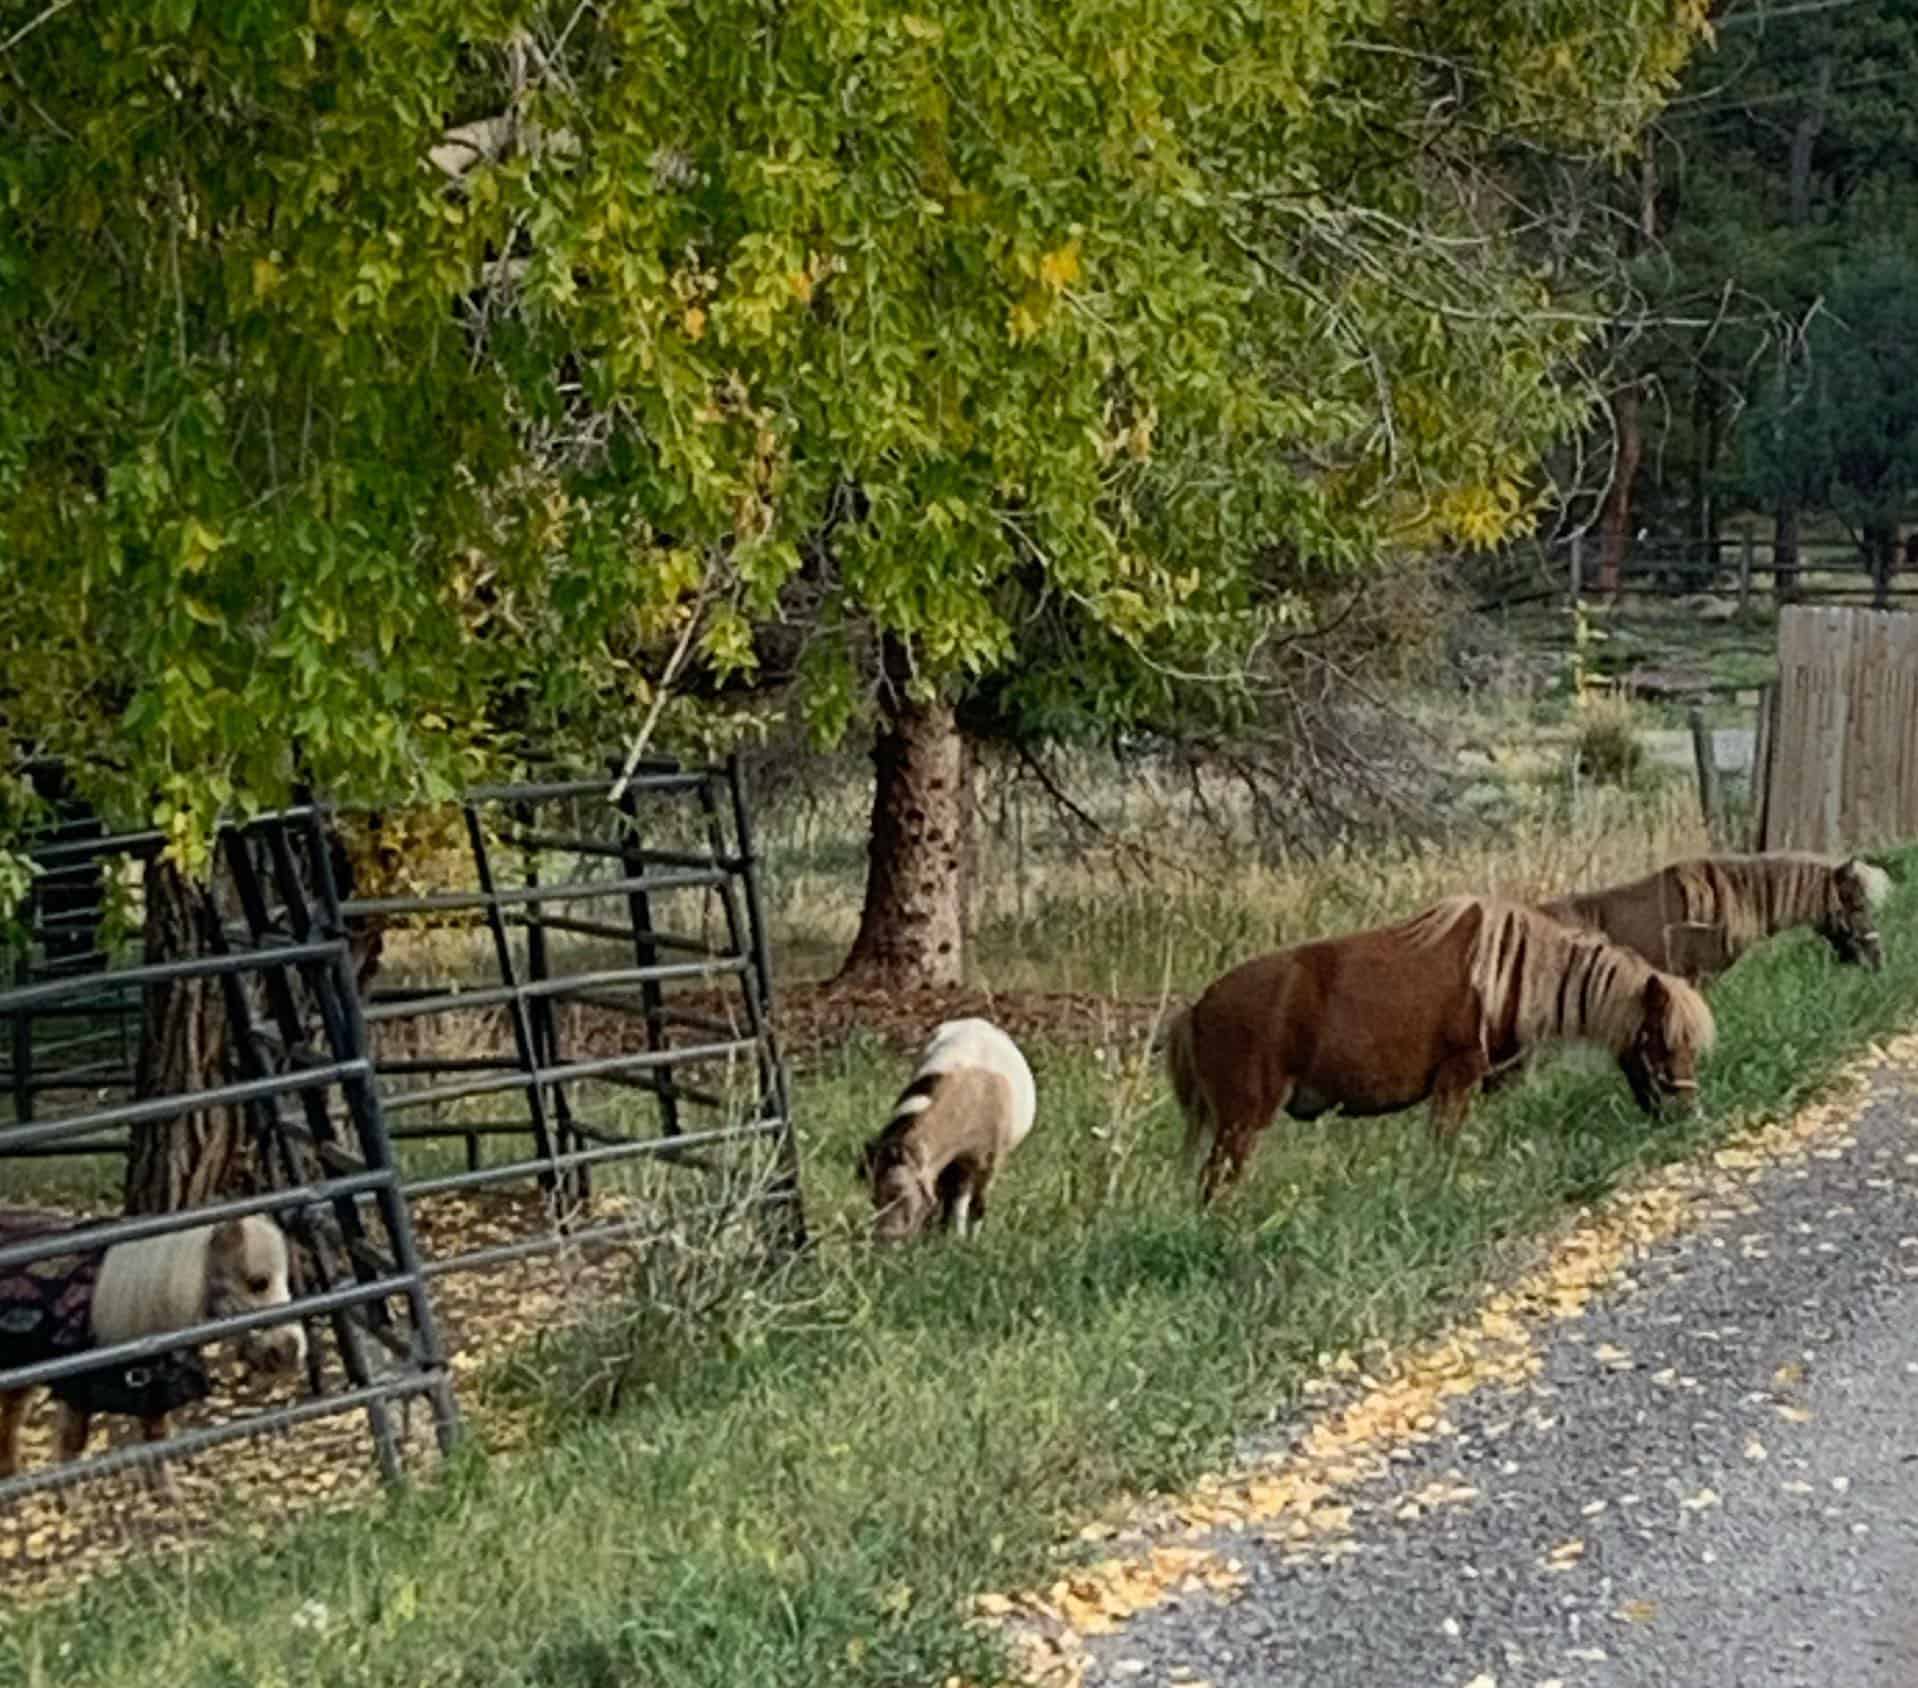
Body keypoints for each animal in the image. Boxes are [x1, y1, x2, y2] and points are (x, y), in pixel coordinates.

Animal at [0, 1213, 307, 1490]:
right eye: (258, 1282)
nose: (290, 1350)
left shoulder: (152, 1386)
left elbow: (156, 1436)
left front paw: (167, 1494)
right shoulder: (79, 1387)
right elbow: (72, 1443)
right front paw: (68, 1499)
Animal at [857, 1018, 1037, 1243]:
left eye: (899, 1193)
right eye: (873, 1198)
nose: (884, 1238)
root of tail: (975, 1021)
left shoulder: (990, 1162)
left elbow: (978, 1206)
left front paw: (971, 1242)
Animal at [1163, 895, 1716, 1202]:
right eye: (1658, 1039)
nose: (1686, 1112)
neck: (1508, 973)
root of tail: (1196, 1008)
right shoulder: (1457, 1078)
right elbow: (1442, 1146)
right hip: (1242, 1122)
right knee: (1216, 1186)